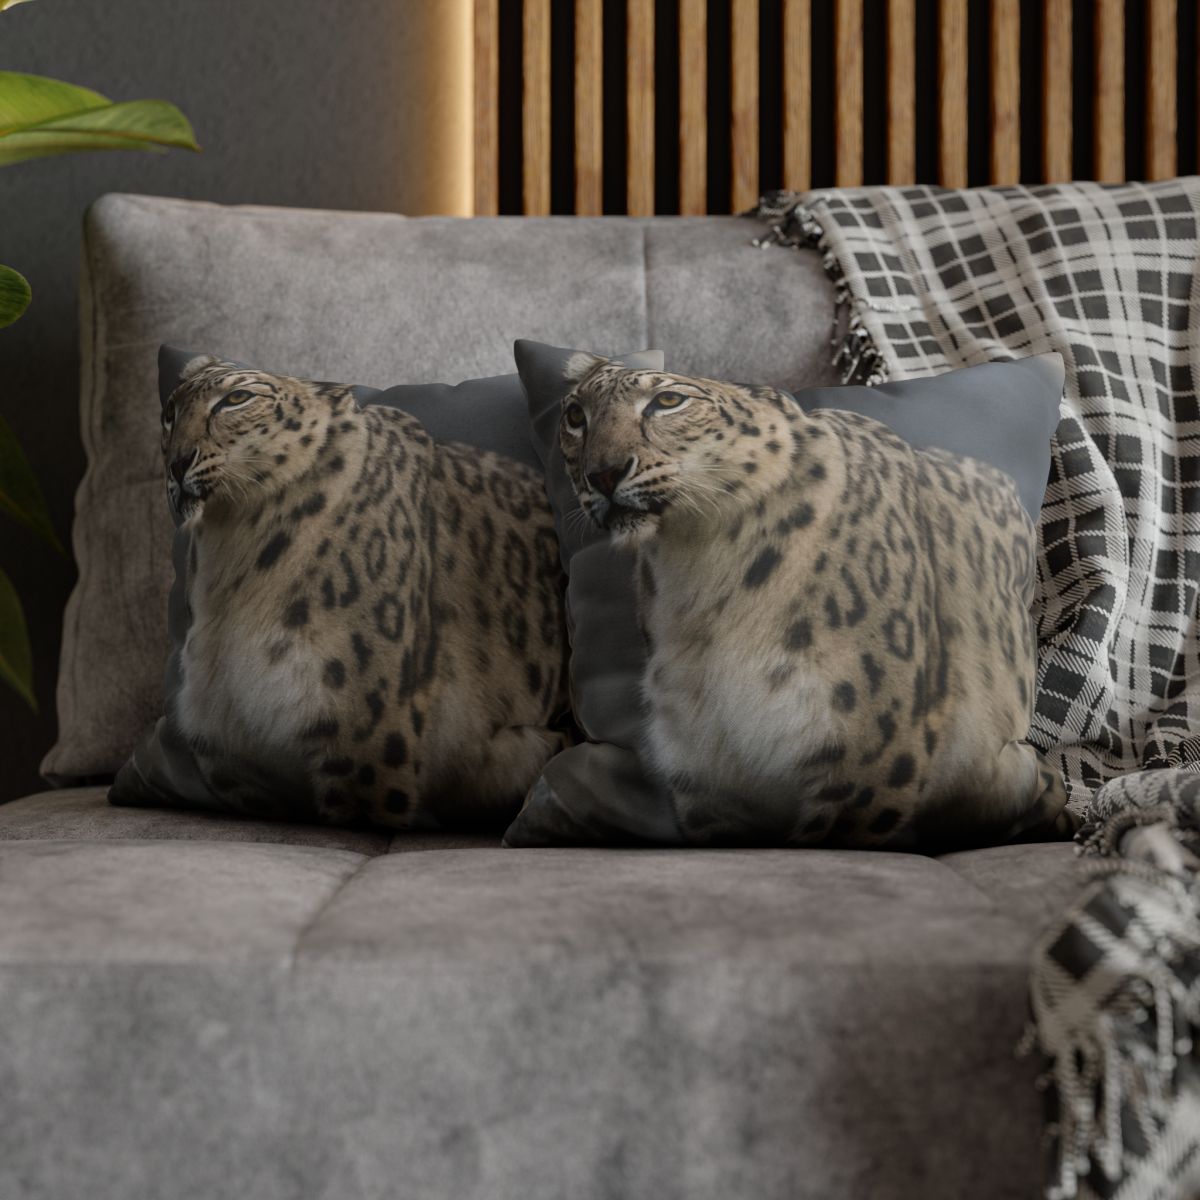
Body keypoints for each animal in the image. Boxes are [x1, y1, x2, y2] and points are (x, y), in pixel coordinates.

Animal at [558, 353, 1077, 850]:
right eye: (575, 415)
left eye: (668, 401)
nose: (602, 473)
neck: (697, 578)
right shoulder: (703, 773)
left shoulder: (871, 759)